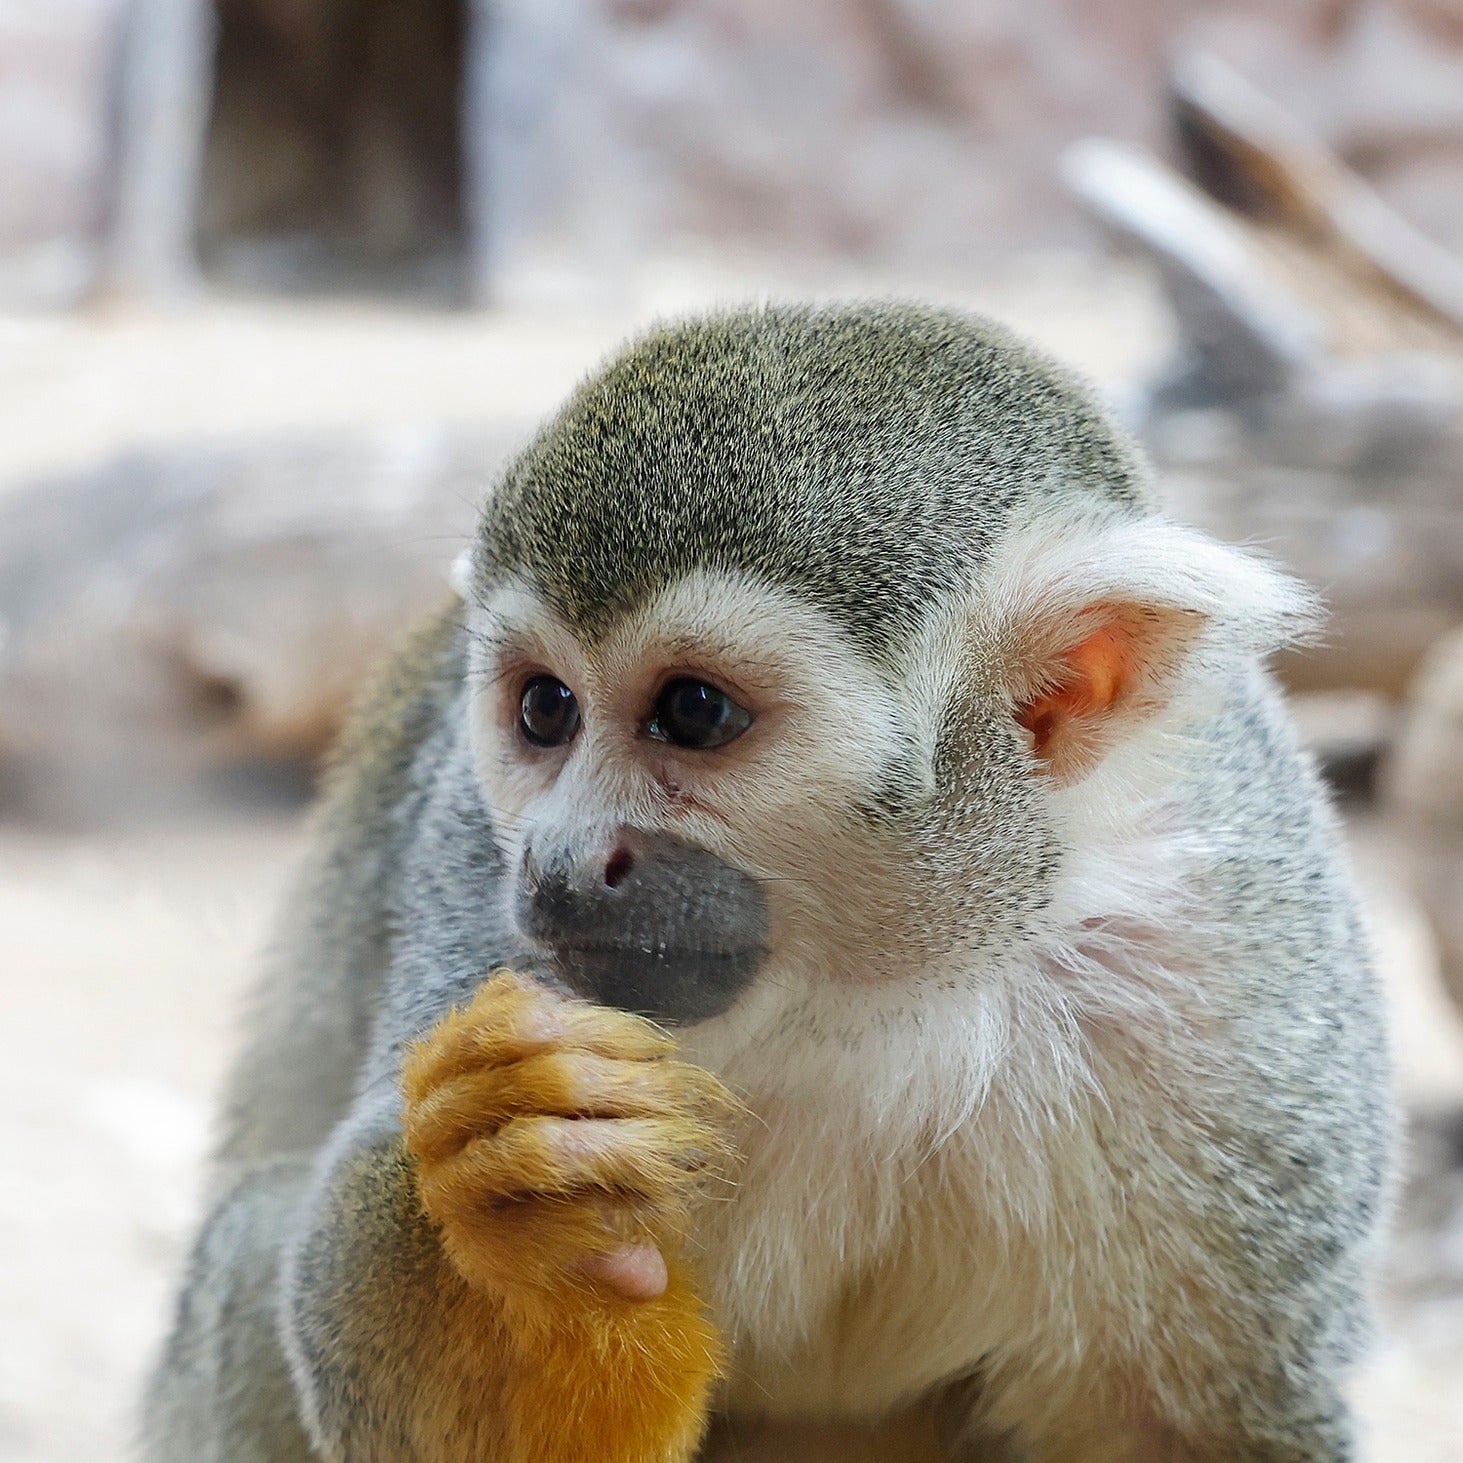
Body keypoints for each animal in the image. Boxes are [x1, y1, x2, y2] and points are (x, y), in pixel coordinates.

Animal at [140, 301, 1395, 1463]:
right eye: (544, 708)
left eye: (694, 711)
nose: (561, 860)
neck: (882, 984)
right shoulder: (475, 882)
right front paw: (528, 1225)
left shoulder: (1236, 978)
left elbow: (1191, 1430)